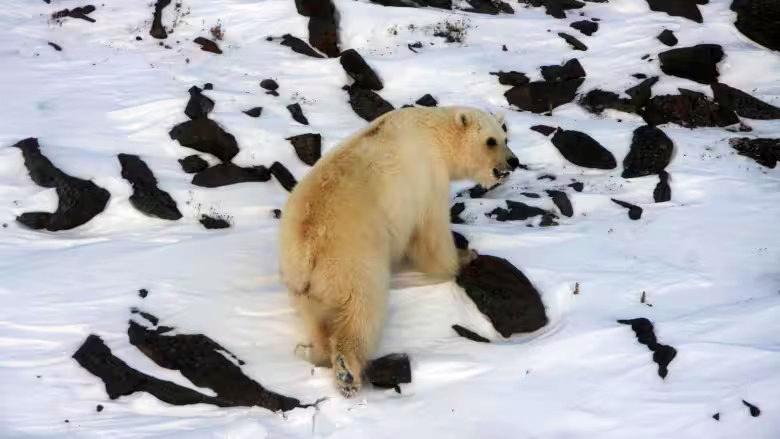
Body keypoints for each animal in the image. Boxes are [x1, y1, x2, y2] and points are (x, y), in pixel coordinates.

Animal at [278, 106, 519, 397]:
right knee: (362, 307)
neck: (434, 132)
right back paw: (348, 372)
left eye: (505, 138)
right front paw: (464, 256)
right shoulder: (428, 179)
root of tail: (307, 245)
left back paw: (313, 352)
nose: (513, 161)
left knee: (316, 316)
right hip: (351, 258)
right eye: (491, 141)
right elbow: (432, 233)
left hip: (304, 281)